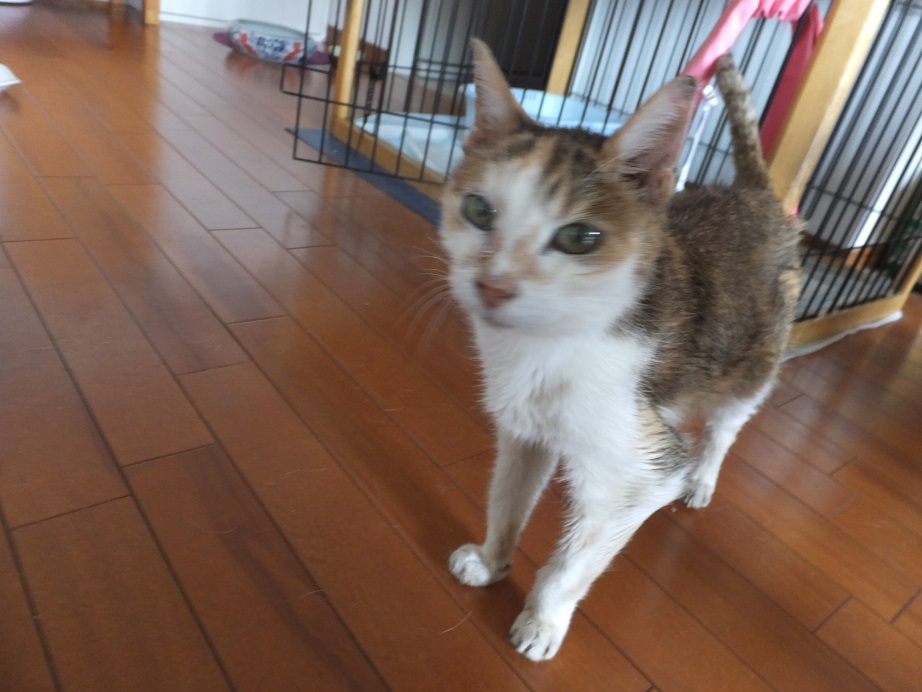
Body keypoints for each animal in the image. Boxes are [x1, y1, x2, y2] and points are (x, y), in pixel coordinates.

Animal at [439, 39, 801, 661]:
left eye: (580, 238)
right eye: (479, 211)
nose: (494, 286)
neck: (548, 348)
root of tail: (755, 195)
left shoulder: (639, 471)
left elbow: (578, 558)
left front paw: (543, 620)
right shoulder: (523, 429)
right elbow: (508, 496)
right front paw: (491, 560)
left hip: (755, 366)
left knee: (724, 428)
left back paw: (703, 478)